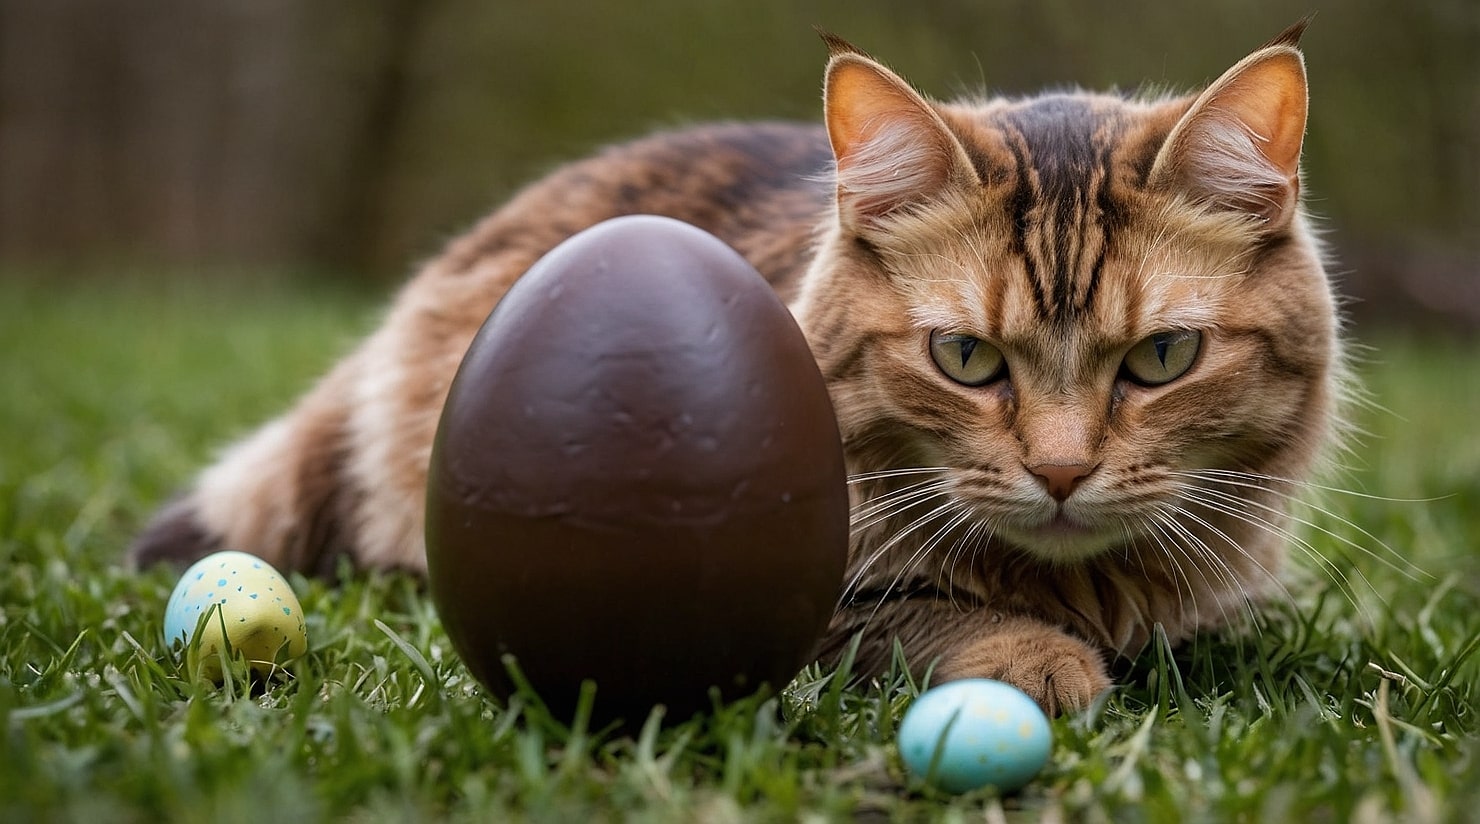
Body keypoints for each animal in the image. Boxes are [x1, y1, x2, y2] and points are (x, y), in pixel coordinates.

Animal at [133, 20, 1349, 713]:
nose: (1058, 473)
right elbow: (916, 613)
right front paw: (1030, 655)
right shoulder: (821, 601)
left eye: (1161, 357)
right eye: (963, 358)